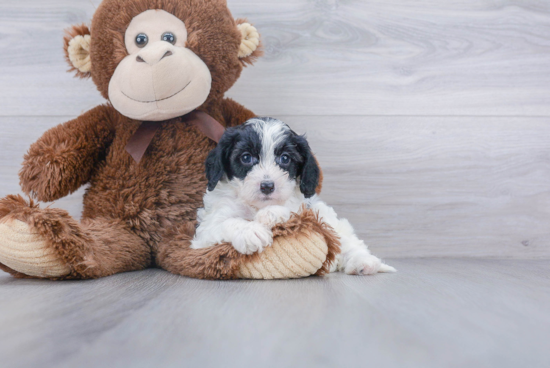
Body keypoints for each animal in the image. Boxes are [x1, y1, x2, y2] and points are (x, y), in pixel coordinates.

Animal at [193, 116, 396, 274]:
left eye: (284, 158)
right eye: (246, 157)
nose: (267, 186)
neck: (257, 205)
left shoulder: (304, 208)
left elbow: (291, 211)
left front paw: (271, 214)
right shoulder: (203, 234)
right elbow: (226, 222)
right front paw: (251, 232)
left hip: (329, 219)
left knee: (346, 241)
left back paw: (363, 262)